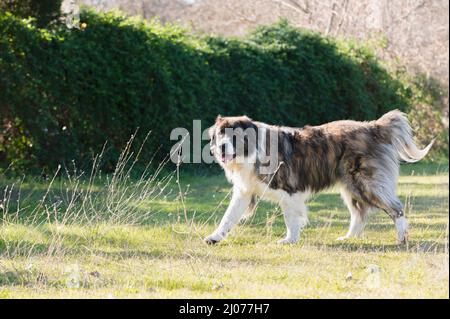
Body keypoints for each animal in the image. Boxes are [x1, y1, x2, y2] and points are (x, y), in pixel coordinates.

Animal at [204, 111, 432, 246]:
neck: (251, 151)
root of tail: (374, 127)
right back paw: (349, 238)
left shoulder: (289, 191)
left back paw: (402, 238)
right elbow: (228, 218)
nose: (221, 147)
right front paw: (214, 237)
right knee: (359, 214)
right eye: (220, 134)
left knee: (396, 208)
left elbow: (291, 218)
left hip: (366, 184)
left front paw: (289, 240)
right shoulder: (244, 192)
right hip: (351, 188)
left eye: (234, 135)